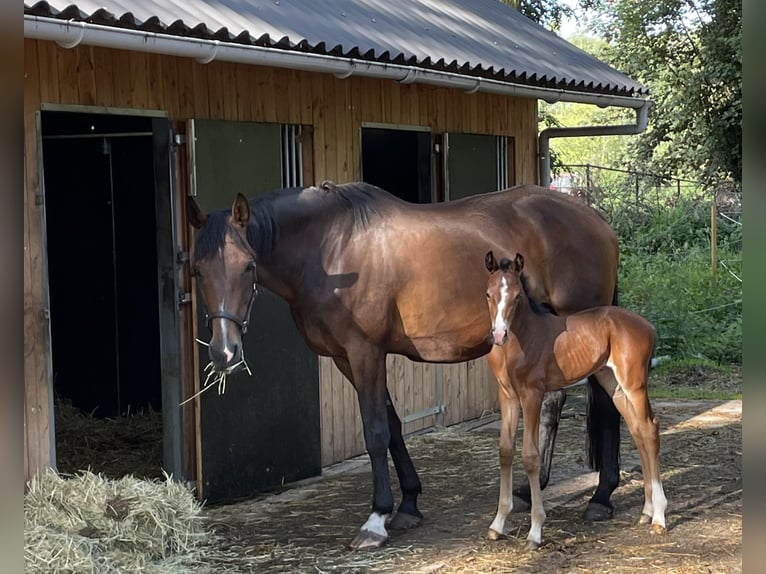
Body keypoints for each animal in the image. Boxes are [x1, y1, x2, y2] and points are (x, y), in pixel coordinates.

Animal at [488, 254, 668, 552]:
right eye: (488, 294)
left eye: (516, 296)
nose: (499, 334)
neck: (524, 338)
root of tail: (649, 327)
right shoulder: (507, 396)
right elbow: (505, 451)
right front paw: (497, 525)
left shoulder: (532, 394)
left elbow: (530, 456)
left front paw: (535, 532)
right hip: (614, 385)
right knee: (638, 430)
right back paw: (647, 511)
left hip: (634, 384)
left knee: (650, 429)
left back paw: (660, 517)